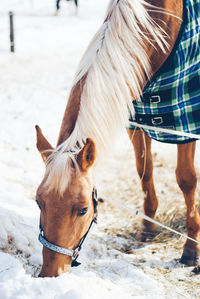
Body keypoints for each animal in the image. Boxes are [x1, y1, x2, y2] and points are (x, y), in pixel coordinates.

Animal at [36, 0, 200, 278]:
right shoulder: (136, 120)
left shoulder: (184, 121)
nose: (51, 273)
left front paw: (191, 250)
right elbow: (144, 171)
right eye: (39, 203)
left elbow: (186, 179)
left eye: (83, 209)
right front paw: (147, 228)